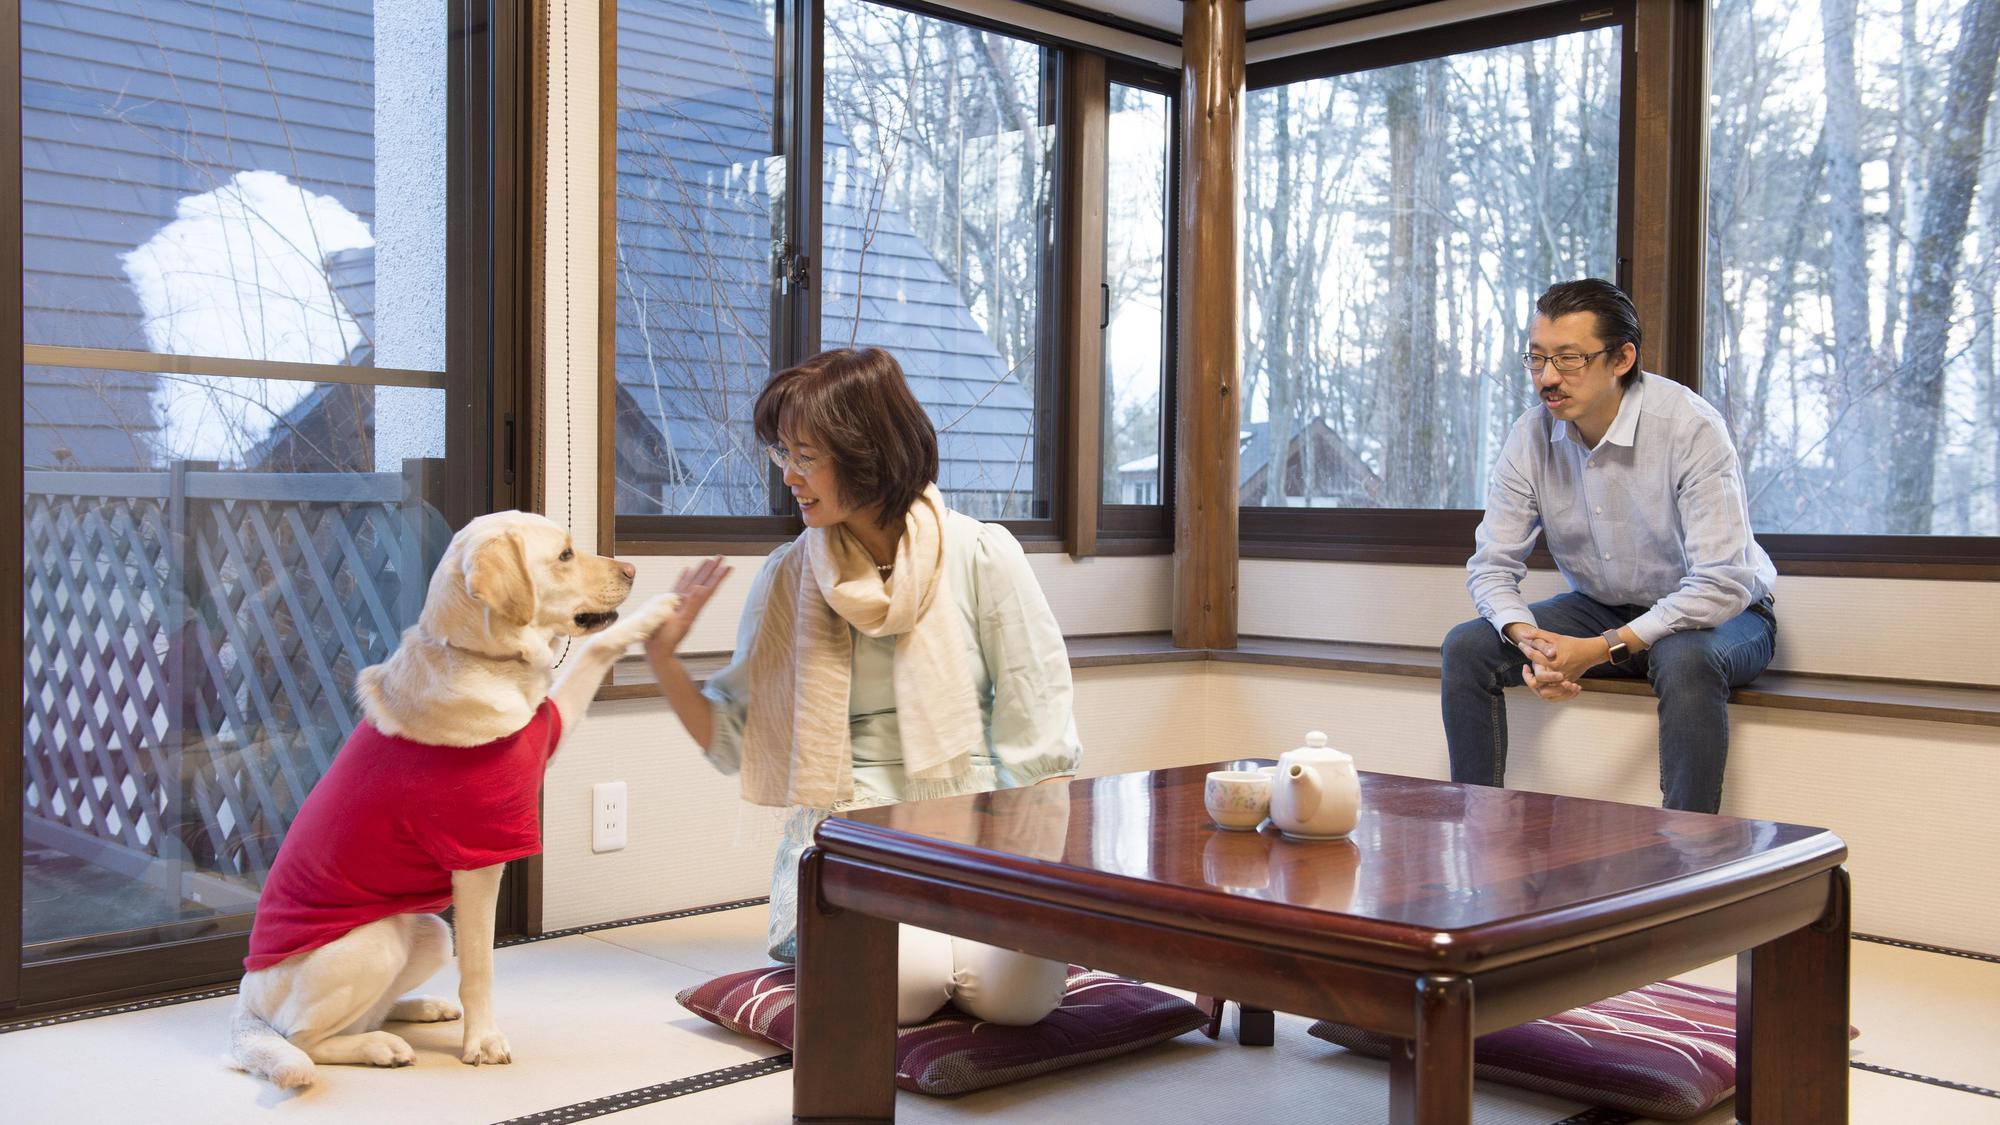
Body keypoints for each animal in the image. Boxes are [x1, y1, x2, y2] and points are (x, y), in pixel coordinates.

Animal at [230, 510, 676, 1088]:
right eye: (564, 555)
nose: (631, 569)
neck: (480, 656)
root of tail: (243, 1007)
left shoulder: (549, 726)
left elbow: (598, 649)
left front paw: (661, 608)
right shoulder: (478, 861)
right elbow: (480, 966)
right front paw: (482, 1042)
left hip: (426, 929)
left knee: (367, 1010)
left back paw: (419, 1008)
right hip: (378, 939)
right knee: (302, 1038)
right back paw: (379, 1047)